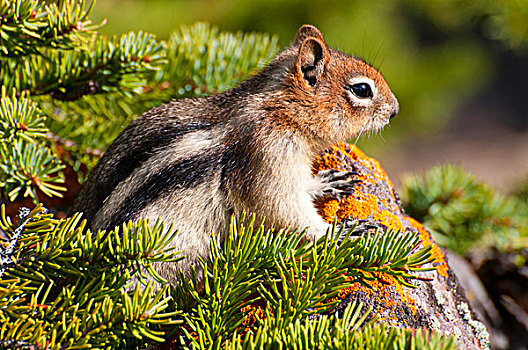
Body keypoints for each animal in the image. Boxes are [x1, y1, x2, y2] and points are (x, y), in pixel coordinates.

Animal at [73, 26, 396, 284]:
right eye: (361, 89)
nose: (395, 110)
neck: (279, 110)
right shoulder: (267, 158)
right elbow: (284, 210)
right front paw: (339, 231)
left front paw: (326, 181)